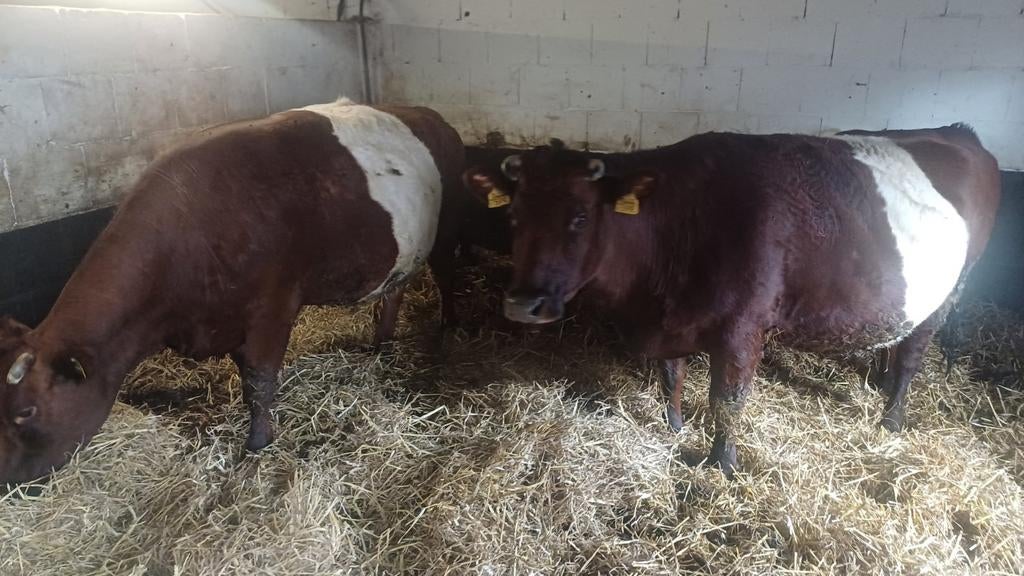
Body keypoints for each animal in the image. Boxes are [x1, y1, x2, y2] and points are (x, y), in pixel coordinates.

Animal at [0, 99, 465, 485]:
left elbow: (258, 382)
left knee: (449, 276)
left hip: (447, 229)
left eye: (26, 412)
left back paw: (449, 327)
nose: (7, 481)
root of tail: (429, 113)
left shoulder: (272, 307)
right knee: (394, 291)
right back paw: (381, 342)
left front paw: (257, 444)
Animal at [464, 124, 1000, 476]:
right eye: (513, 214)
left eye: (579, 217)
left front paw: (721, 463)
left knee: (914, 354)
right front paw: (675, 427)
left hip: (951, 288)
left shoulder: (743, 328)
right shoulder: (671, 320)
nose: (523, 303)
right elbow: (671, 376)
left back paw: (891, 417)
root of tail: (958, 133)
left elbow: (726, 401)